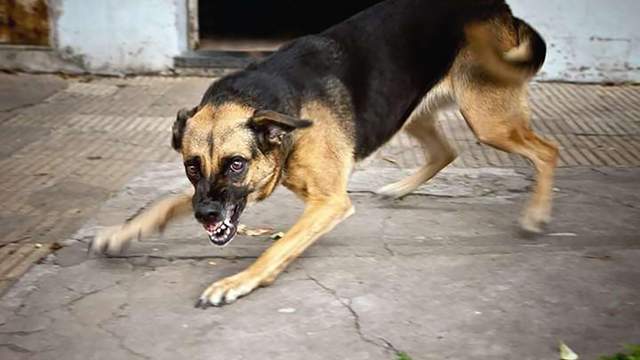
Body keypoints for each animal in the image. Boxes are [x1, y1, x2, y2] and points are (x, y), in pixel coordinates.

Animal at [89, 0, 556, 306]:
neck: (279, 113)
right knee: (447, 151)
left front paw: (237, 282)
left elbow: (277, 249)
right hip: (407, 110)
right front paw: (123, 231)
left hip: (488, 120)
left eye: (236, 164)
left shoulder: (329, 203)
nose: (204, 217)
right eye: (191, 166)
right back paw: (399, 188)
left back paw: (535, 214)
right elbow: (166, 202)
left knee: (547, 151)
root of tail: (498, 4)